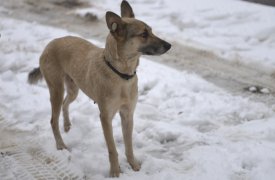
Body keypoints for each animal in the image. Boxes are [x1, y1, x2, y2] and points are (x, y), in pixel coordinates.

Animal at [27, 0, 170, 177]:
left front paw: (134, 166)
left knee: (65, 104)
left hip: (73, 89)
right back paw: (60, 145)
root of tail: (50, 44)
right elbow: (112, 149)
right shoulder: (105, 117)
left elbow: (129, 146)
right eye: (144, 34)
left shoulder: (128, 115)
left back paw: (67, 125)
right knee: (53, 119)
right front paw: (115, 172)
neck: (121, 74)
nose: (169, 45)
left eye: (151, 30)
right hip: (56, 89)